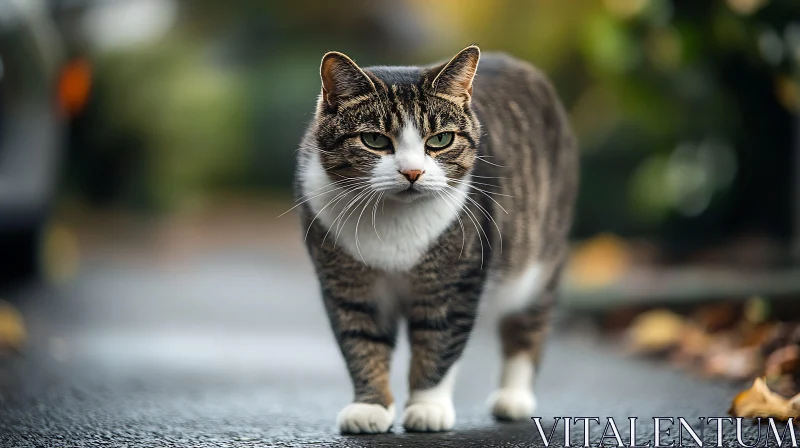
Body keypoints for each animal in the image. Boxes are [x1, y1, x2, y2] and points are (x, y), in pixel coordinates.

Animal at [294, 46, 576, 434]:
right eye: (375, 140)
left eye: (440, 140)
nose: (412, 172)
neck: (394, 221)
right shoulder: (347, 287)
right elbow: (361, 344)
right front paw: (371, 407)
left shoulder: (453, 285)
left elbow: (438, 345)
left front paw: (427, 408)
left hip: (540, 260)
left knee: (529, 322)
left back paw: (513, 397)